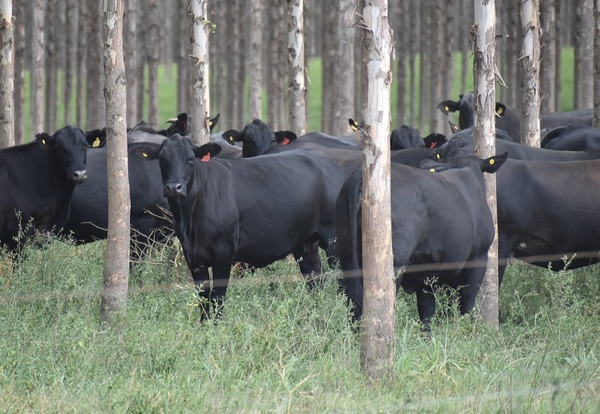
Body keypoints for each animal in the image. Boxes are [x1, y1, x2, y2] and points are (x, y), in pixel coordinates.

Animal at [131, 136, 346, 316]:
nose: (174, 188)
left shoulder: (224, 252)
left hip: (334, 240)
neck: (190, 219)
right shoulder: (193, 255)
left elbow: (217, 297)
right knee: (315, 281)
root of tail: (326, 162)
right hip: (306, 243)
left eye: (190, 159)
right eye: (162, 159)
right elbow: (203, 298)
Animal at [336, 151, 508, 326]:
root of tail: (360, 174)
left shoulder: (425, 272)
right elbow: (466, 303)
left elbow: (427, 310)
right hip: (394, 264)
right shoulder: (479, 257)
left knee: (353, 304)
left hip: (347, 257)